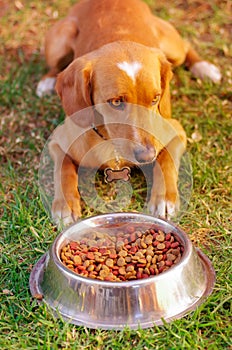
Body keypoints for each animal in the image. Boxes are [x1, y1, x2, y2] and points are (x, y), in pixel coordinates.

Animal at [36, 0, 221, 224]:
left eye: (155, 98)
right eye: (116, 102)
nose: (147, 155)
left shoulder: (177, 131)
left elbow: (166, 161)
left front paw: (164, 197)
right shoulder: (57, 142)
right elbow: (63, 170)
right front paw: (65, 204)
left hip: (172, 48)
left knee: (186, 47)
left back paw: (205, 67)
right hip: (60, 41)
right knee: (56, 67)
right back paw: (48, 81)